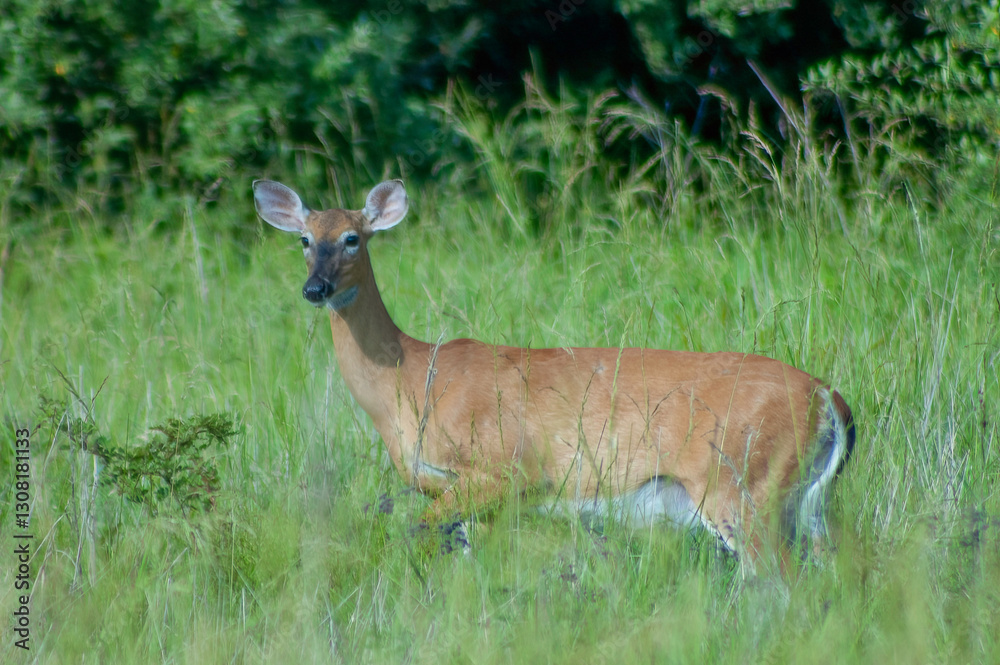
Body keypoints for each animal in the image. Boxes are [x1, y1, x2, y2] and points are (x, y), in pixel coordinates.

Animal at [253, 178, 856, 574]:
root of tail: (831, 399)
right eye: (304, 239)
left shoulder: (503, 469)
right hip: (804, 502)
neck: (412, 379)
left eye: (353, 238)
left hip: (742, 485)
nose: (316, 288)